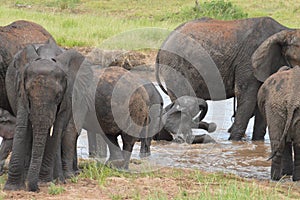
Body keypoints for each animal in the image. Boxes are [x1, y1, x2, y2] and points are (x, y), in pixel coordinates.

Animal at [3, 41, 85, 192]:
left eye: (58, 96)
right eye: (28, 94)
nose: (34, 188)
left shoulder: (67, 96)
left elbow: (56, 130)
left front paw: (45, 183)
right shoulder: (20, 90)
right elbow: (22, 127)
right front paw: (12, 188)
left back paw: (58, 179)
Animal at [155, 17, 300, 141]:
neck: (285, 31)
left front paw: (257, 142)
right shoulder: (249, 62)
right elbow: (248, 99)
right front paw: (234, 142)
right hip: (175, 68)